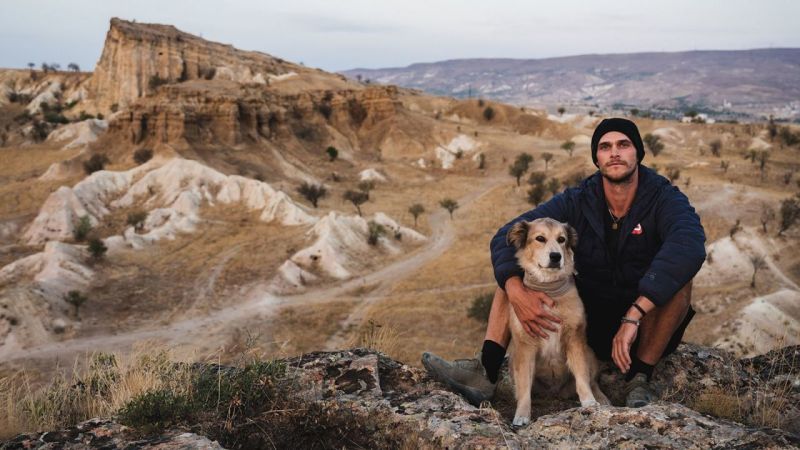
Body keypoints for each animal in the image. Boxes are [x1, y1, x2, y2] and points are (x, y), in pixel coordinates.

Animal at [506, 220, 608, 428]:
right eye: (540, 238)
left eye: (562, 239)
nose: (556, 256)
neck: (549, 290)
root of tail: (555, 393)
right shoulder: (525, 346)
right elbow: (524, 386)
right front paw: (522, 414)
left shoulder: (575, 339)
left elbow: (582, 377)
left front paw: (589, 402)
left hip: (589, 352)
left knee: (593, 380)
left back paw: (601, 398)